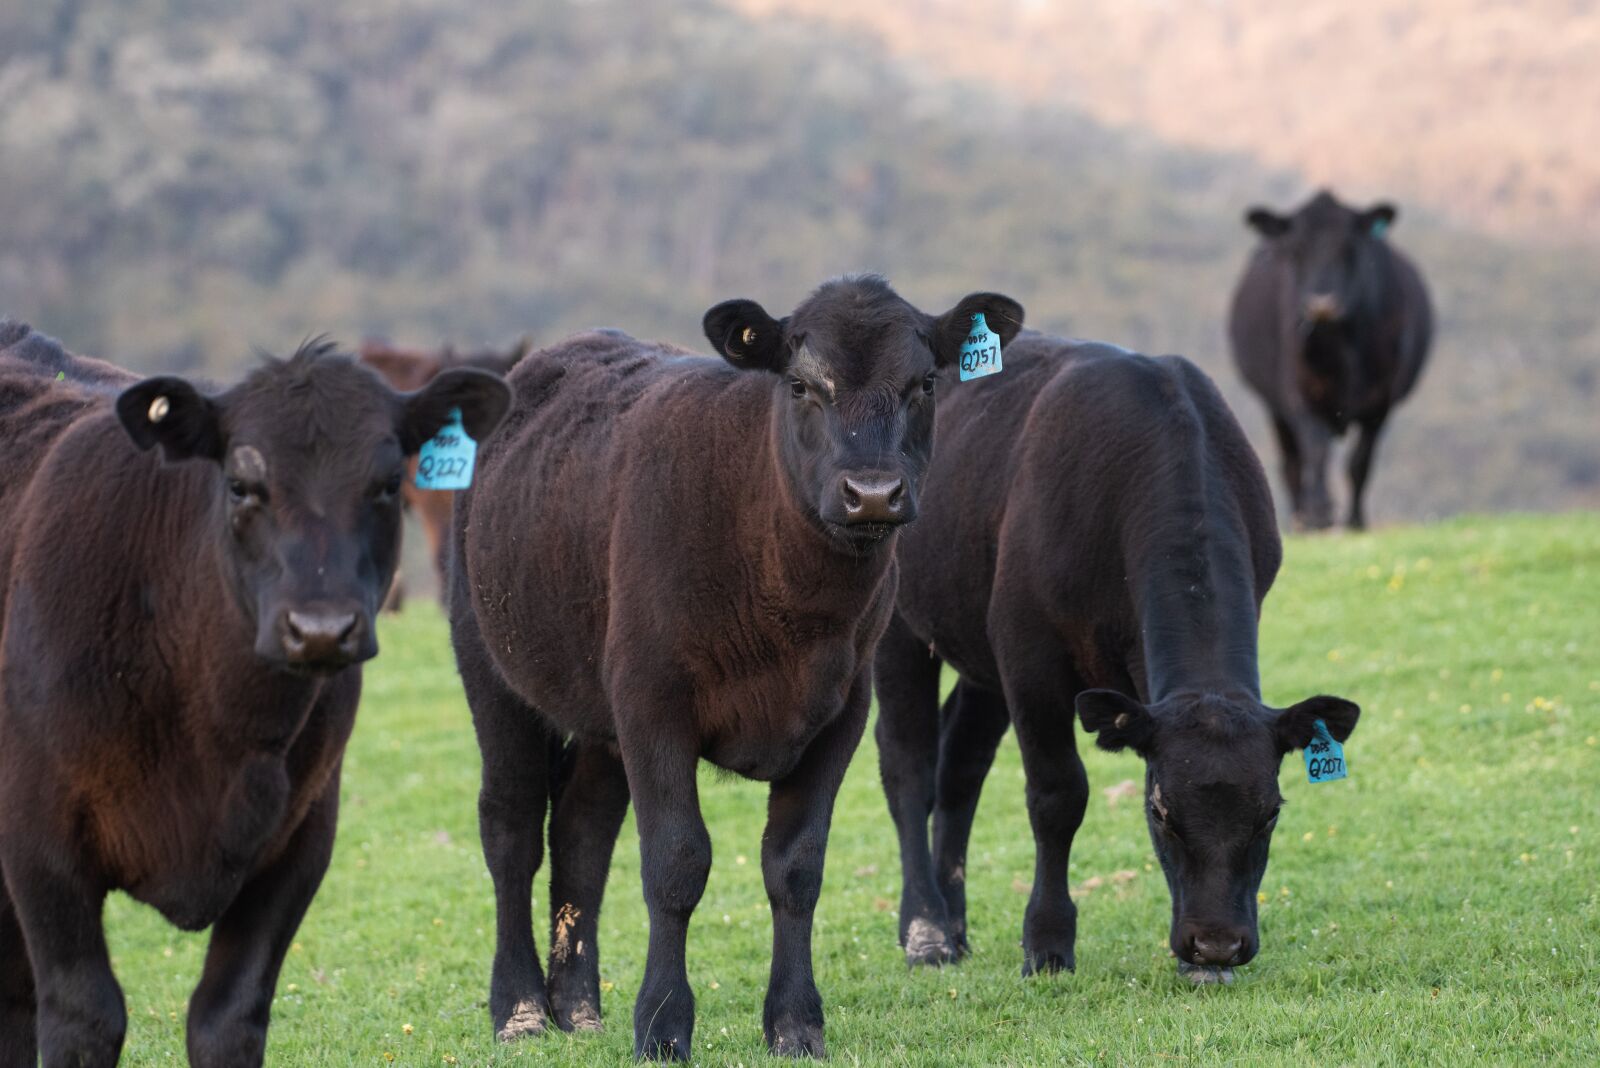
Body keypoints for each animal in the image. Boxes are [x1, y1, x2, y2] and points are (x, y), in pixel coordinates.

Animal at [0, 321, 509, 1068]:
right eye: (241, 485)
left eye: (389, 483)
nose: (321, 629)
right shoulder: (38, 841)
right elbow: (81, 1013)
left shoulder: (299, 840)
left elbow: (228, 1017)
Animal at [447, 276, 1023, 1059]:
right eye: (801, 384)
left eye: (925, 383)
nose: (872, 493)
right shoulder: (653, 703)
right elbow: (676, 862)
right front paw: (662, 1026)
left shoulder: (841, 711)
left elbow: (796, 866)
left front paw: (796, 1021)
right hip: (491, 667)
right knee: (510, 828)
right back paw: (522, 1008)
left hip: (599, 714)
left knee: (582, 830)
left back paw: (579, 1005)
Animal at [873, 333, 1360, 985]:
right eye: (1161, 814)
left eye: (1270, 815)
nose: (1216, 944)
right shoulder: (1028, 654)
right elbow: (1057, 795)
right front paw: (1047, 944)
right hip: (898, 624)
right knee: (908, 762)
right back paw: (926, 933)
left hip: (978, 648)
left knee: (961, 763)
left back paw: (954, 923)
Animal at [1228, 189, 1432, 530]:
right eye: (1295, 250)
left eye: (1349, 248)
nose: (1321, 304)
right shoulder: (1300, 396)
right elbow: (1317, 452)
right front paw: (1320, 515)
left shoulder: (1380, 402)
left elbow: (1359, 462)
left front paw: (1355, 520)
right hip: (1274, 407)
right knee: (1292, 463)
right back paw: (1301, 519)